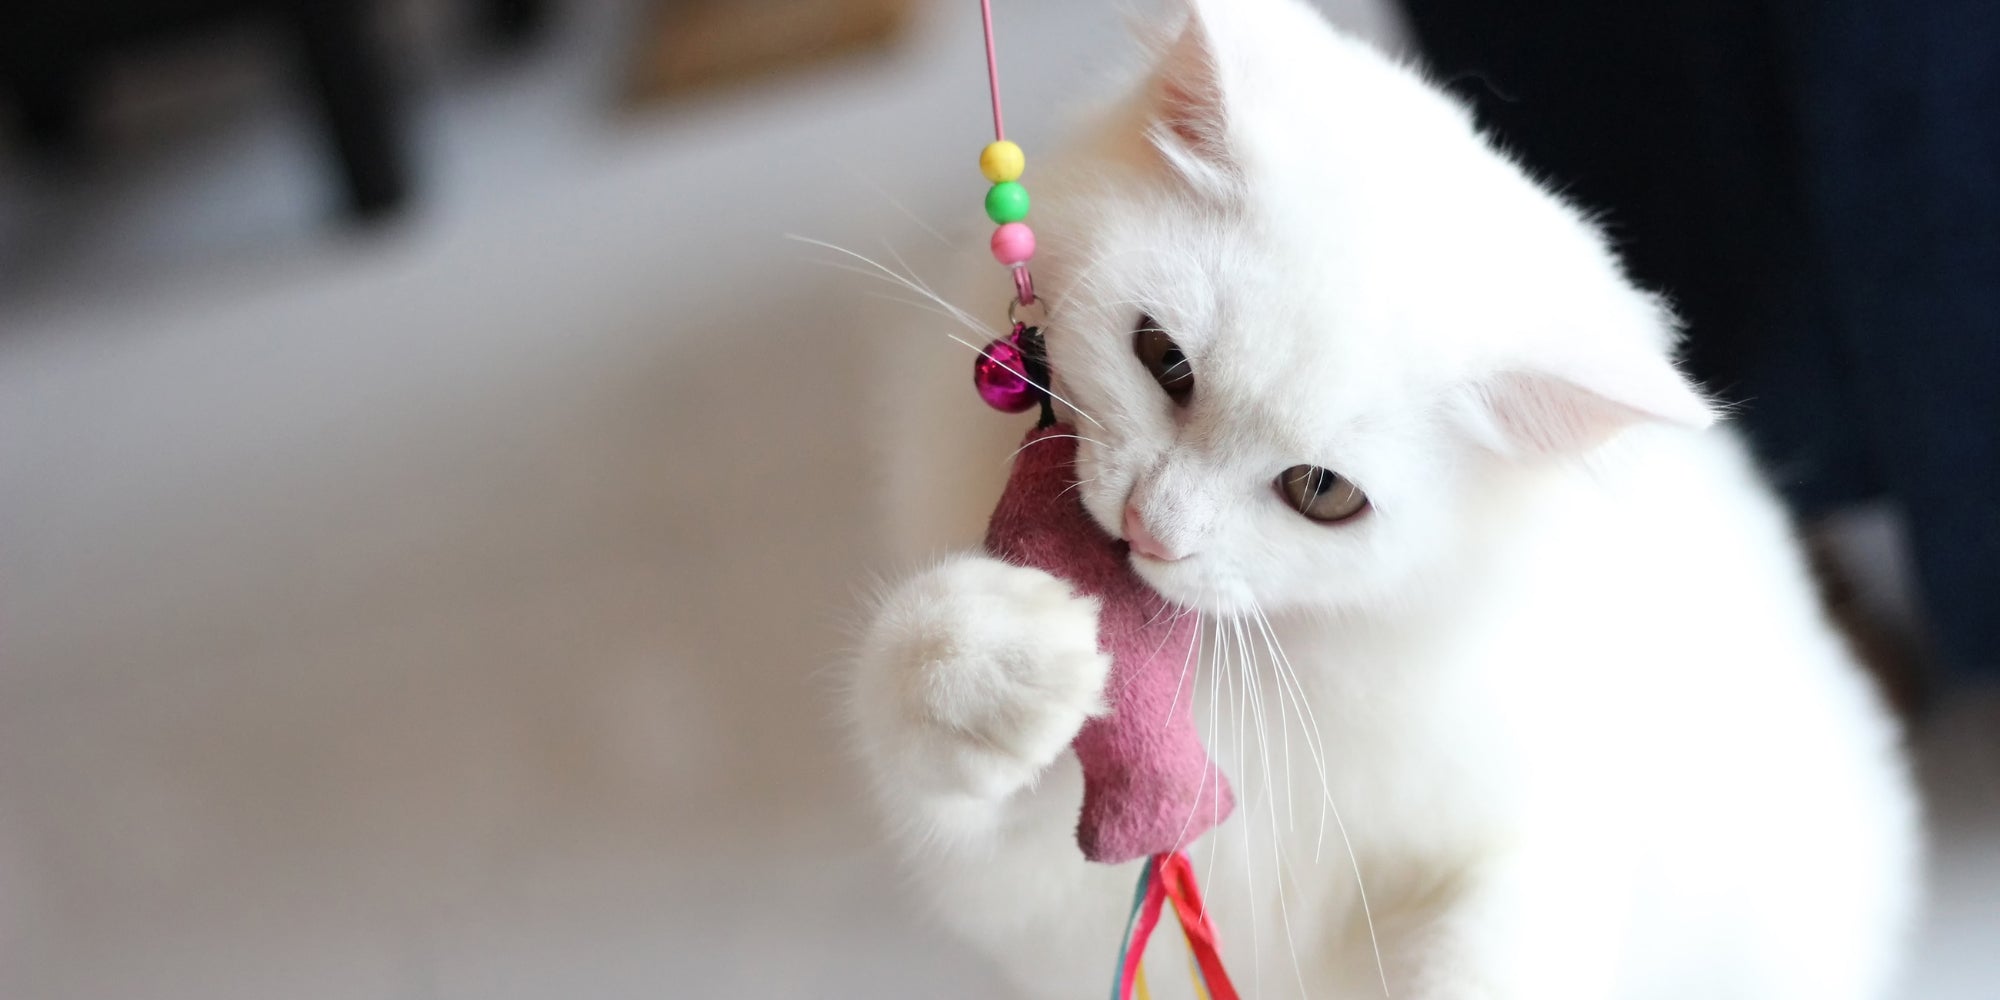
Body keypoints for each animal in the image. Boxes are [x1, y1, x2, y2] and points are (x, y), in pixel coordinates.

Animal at [844, 3, 1920, 996]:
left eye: (1321, 493)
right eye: (1161, 360)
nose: (1152, 527)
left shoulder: (1542, 840)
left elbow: (1491, 951)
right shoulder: (1032, 880)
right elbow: (914, 699)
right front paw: (1006, 656)